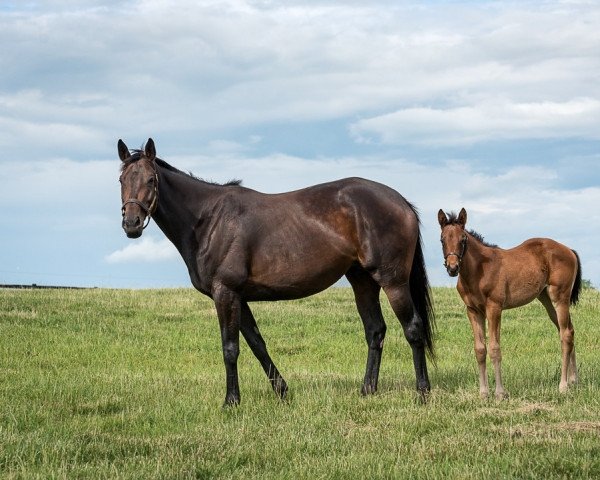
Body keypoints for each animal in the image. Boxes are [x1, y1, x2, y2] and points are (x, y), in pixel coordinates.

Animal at [118, 138, 436, 404]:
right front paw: (282, 391)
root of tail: (400, 201)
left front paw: (231, 401)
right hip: (363, 281)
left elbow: (230, 348)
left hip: (393, 281)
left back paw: (422, 393)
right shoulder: (239, 297)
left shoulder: (225, 293)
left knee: (413, 329)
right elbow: (257, 344)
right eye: (121, 179)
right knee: (375, 330)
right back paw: (367, 390)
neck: (208, 219)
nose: (131, 223)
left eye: (150, 179)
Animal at [436, 208, 580, 400]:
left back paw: (563, 386)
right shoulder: (473, 311)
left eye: (463, 239)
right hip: (547, 300)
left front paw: (499, 393)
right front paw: (483, 393)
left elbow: (494, 348)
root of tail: (569, 250)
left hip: (560, 297)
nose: (452, 268)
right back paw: (573, 381)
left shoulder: (494, 308)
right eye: (442, 239)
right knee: (570, 331)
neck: (478, 271)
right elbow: (480, 349)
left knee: (564, 335)